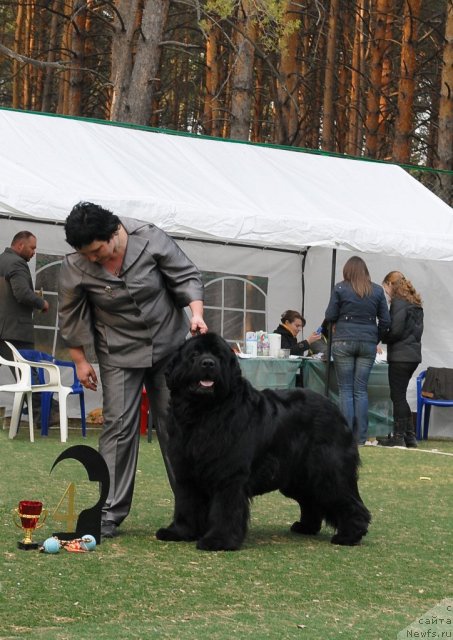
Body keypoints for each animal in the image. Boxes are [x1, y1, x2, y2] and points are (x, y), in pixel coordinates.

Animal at [157, 336, 370, 552]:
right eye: (194, 354)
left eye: (219, 356)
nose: (208, 363)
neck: (203, 412)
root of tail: (337, 410)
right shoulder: (185, 470)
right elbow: (186, 502)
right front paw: (179, 532)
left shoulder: (229, 474)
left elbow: (225, 508)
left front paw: (219, 540)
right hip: (298, 477)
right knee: (311, 500)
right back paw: (306, 527)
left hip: (327, 470)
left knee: (346, 498)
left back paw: (349, 535)